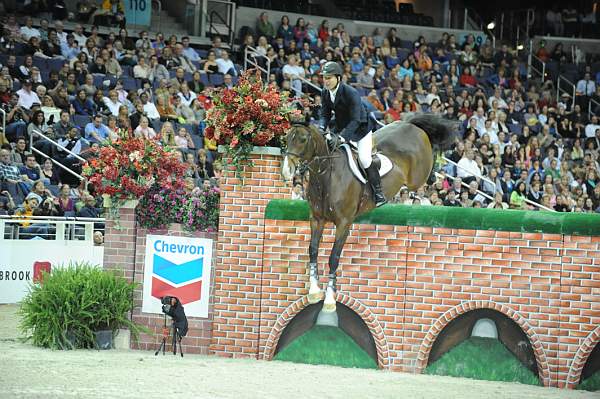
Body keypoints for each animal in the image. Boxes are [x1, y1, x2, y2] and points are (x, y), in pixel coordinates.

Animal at [282, 114, 454, 314]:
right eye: (287, 138)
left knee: (427, 171)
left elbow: (334, 257)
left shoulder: (344, 223)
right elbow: (313, 250)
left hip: (417, 176)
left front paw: (330, 299)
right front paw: (314, 291)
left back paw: (437, 175)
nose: (287, 171)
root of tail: (411, 124)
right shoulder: (317, 219)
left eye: (302, 139)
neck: (327, 175)